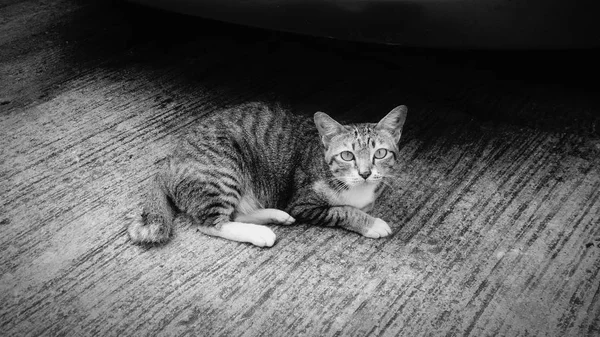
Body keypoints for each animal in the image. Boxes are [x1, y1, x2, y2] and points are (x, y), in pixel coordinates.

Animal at [127, 101, 408, 245]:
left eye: (380, 153)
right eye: (347, 155)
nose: (365, 173)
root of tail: (168, 162)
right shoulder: (303, 203)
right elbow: (343, 210)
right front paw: (372, 223)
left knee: (237, 212)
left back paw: (275, 215)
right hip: (224, 171)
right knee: (211, 224)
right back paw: (259, 233)